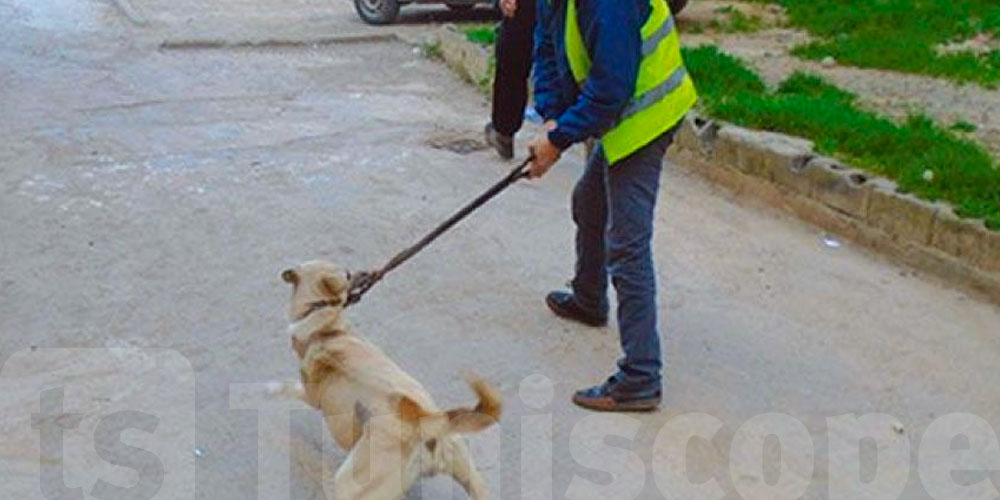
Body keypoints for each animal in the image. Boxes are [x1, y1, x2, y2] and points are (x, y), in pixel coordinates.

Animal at [280, 260, 500, 498]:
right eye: (348, 274)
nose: (366, 272)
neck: (322, 320)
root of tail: (425, 421)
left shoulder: (310, 394)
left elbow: (287, 387)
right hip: (468, 472)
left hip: (350, 484)